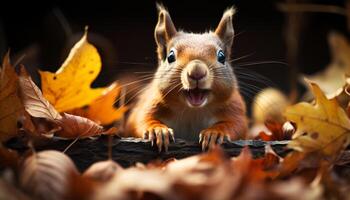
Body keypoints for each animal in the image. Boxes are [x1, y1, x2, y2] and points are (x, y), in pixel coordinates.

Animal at [124, 4, 247, 152]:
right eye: (170, 57)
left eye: (222, 56)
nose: (196, 72)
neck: (192, 111)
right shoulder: (149, 104)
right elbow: (140, 120)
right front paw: (157, 130)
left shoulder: (235, 108)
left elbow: (237, 124)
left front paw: (215, 133)